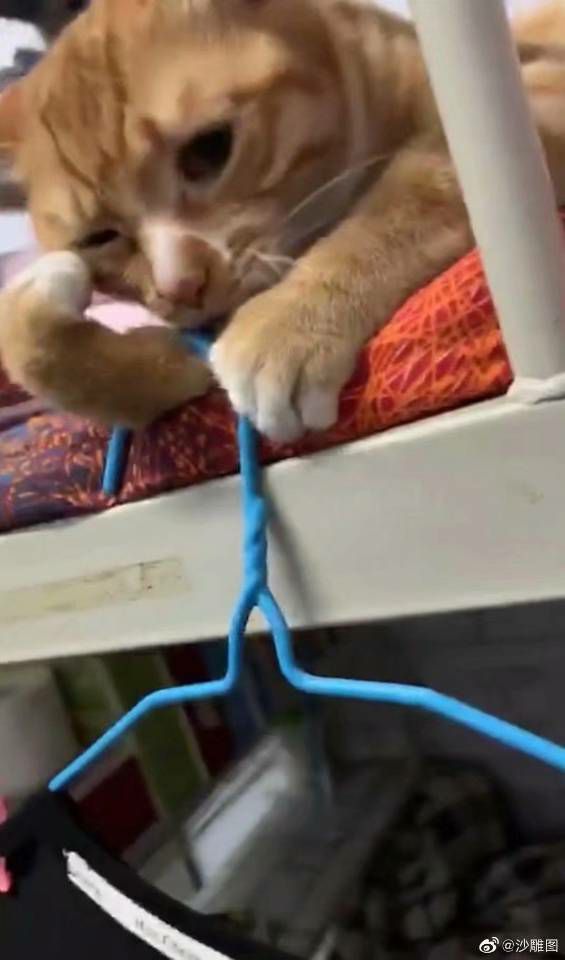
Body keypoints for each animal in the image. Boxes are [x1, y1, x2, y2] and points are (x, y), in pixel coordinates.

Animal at [1, 0, 565, 436]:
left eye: (210, 149)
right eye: (98, 237)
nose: (179, 286)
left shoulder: (533, 104)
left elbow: (413, 189)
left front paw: (289, 323)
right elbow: (29, 345)